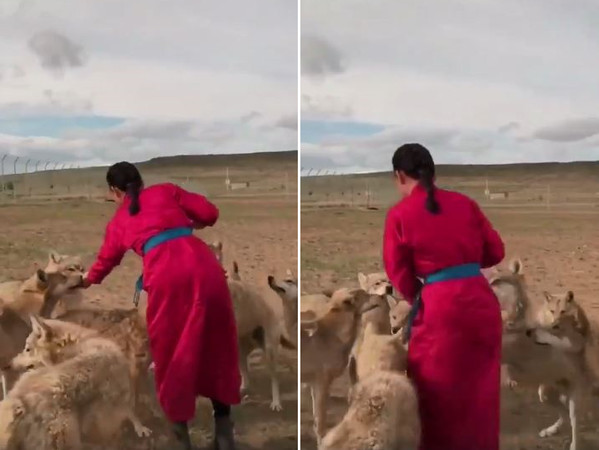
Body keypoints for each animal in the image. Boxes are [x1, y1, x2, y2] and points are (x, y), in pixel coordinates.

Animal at [0, 316, 150, 450]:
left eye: (27, 349)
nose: (7, 365)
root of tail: (21, 404)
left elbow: (131, 413)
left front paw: (140, 428)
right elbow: (130, 413)